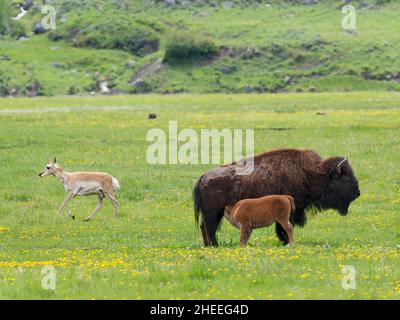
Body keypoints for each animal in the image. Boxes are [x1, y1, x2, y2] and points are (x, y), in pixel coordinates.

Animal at [192, 149, 360, 246]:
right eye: (345, 177)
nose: (357, 192)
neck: (313, 173)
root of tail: (203, 177)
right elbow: (283, 227)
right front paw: (285, 241)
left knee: (205, 227)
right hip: (213, 213)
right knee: (208, 227)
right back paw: (213, 245)